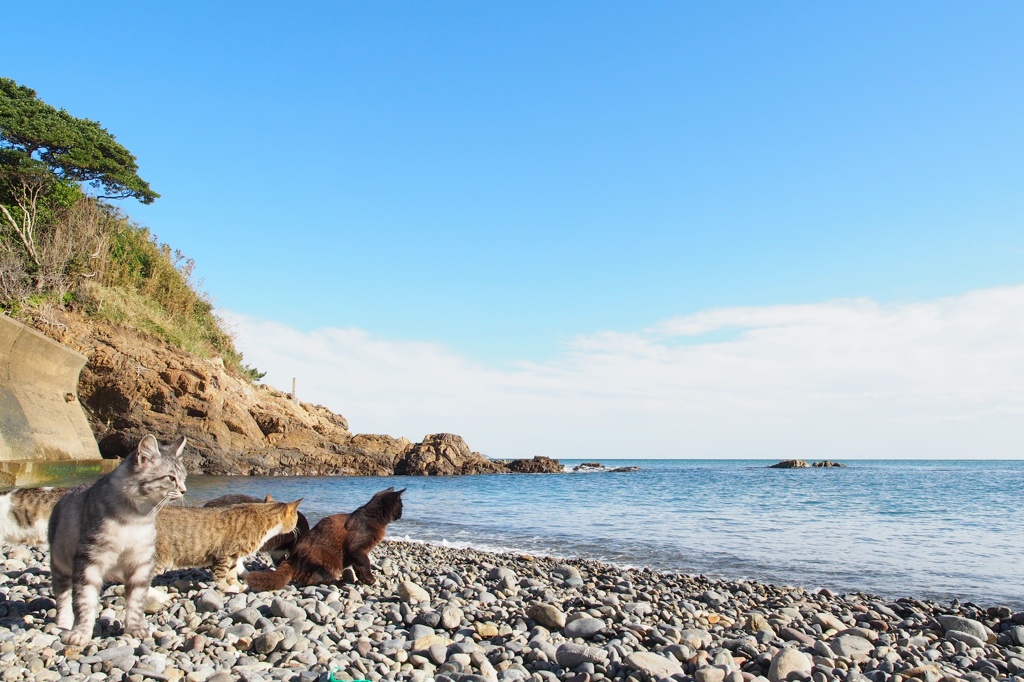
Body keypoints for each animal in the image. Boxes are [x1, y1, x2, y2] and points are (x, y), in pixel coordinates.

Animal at [49, 432, 188, 638]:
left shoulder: (142, 561)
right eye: (171, 478)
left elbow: (136, 601)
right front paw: (81, 633)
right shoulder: (89, 559)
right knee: (63, 596)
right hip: (60, 562)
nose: (184, 490)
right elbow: (84, 600)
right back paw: (64, 622)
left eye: (184, 477)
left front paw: (135, 628)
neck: (135, 518)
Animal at [153, 493, 301, 589]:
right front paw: (226, 588)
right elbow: (221, 574)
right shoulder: (225, 553)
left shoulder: (234, 555)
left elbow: (232, 572)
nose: (296, 528)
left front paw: (238, 585)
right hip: (160, 556)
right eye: (296, 519)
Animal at [244, 483, 403, 589]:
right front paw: (370, 579)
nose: (402, 514)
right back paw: (338, 582)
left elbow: (360, 567)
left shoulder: (358, 554)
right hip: (330, 561)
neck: (372, 517)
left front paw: (365, 580)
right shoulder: (356, 549)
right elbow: (366, 563)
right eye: (401, 506)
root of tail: (293, 558)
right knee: (310, 580)